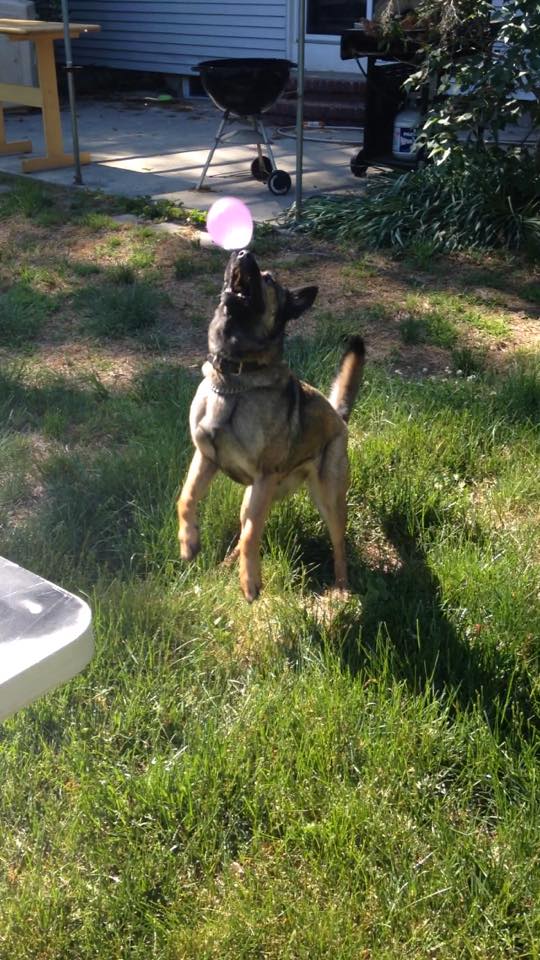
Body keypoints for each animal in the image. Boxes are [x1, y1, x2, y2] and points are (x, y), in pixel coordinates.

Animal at [177, 251, 362, 604]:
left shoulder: (263, 476)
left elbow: (252, 535)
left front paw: (250, 582)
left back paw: (343, 588)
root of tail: (338, 416)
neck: (234, 379)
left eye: (269, 280)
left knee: (338, 545)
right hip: (252, 497)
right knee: (245, 527)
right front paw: (189, 541)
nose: (242, 252)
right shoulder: (205, 458)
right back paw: (227, 565)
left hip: (328, 499)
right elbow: (186, 498)